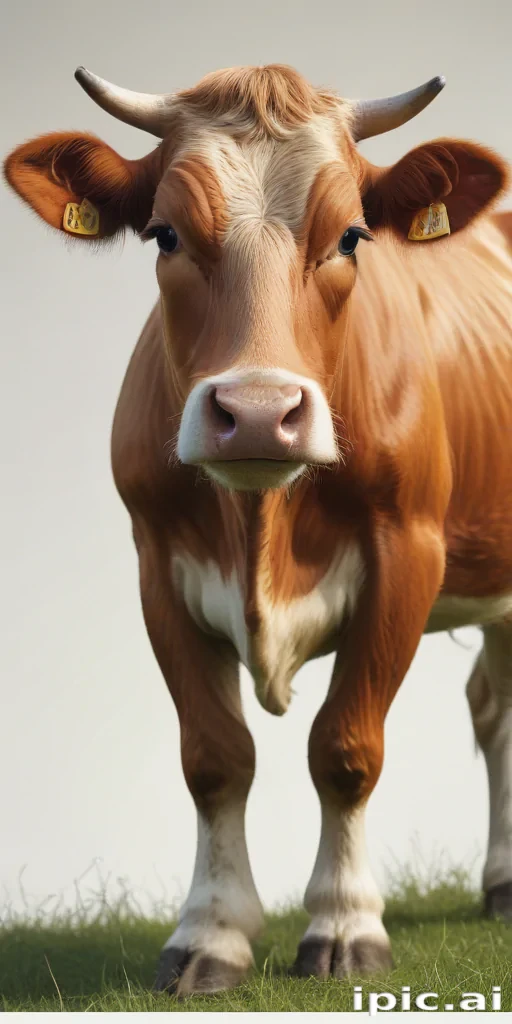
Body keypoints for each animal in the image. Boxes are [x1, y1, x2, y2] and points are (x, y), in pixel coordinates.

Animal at [4, 63, 512, 997]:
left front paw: (345, 925)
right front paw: (210, 936)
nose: (257, 413)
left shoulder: (407, 553)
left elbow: (346, 747)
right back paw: (499, 884)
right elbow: (214, 756)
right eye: (164, 234)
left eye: (351, 236)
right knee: (493, 707)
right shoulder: (158, 567)